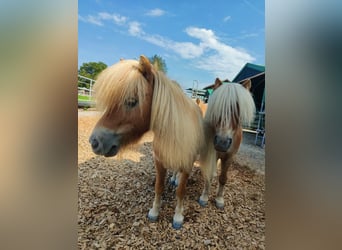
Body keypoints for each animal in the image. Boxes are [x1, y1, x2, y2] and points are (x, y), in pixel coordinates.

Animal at [89, 55, 206, 229]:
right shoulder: (159, 161)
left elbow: (181, 191)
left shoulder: (187, 163)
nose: (94, 141)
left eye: (132, 101)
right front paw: (154, 211)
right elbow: (159, 187)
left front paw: (178, 216)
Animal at [199, 79, 255, 208]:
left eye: (238, 109)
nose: (222, 142)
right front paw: (204, 197)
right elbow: (209, 175)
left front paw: (219, 199)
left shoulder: (229, 156)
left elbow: (223, 178)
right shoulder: (213, 153)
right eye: (218, 108)